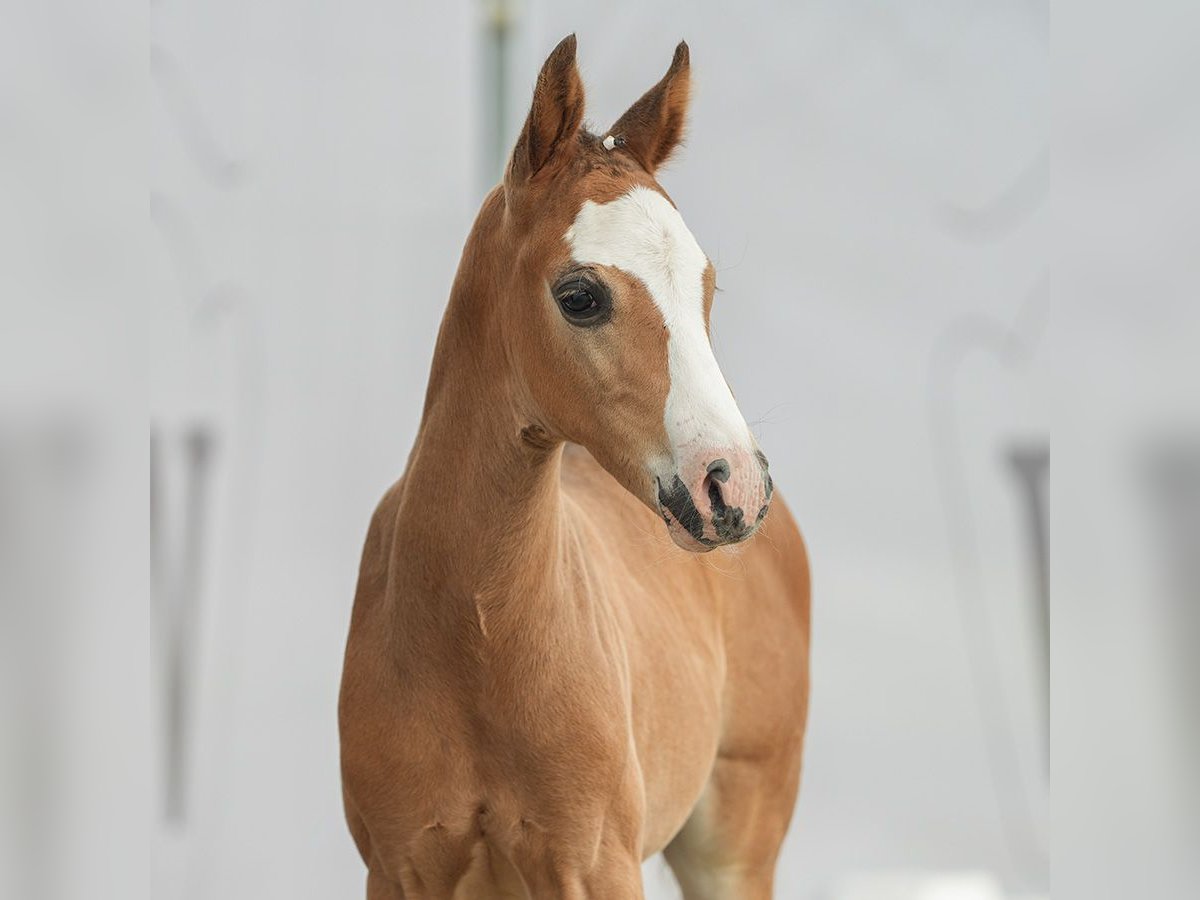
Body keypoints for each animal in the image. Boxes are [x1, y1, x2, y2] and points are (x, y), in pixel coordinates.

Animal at [338, 37, 811, 900]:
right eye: (581, 295)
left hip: (736, 840)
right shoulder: (400, 865)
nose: (732, 484)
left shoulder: (595, 865)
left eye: (705, 288)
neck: (477, 634)